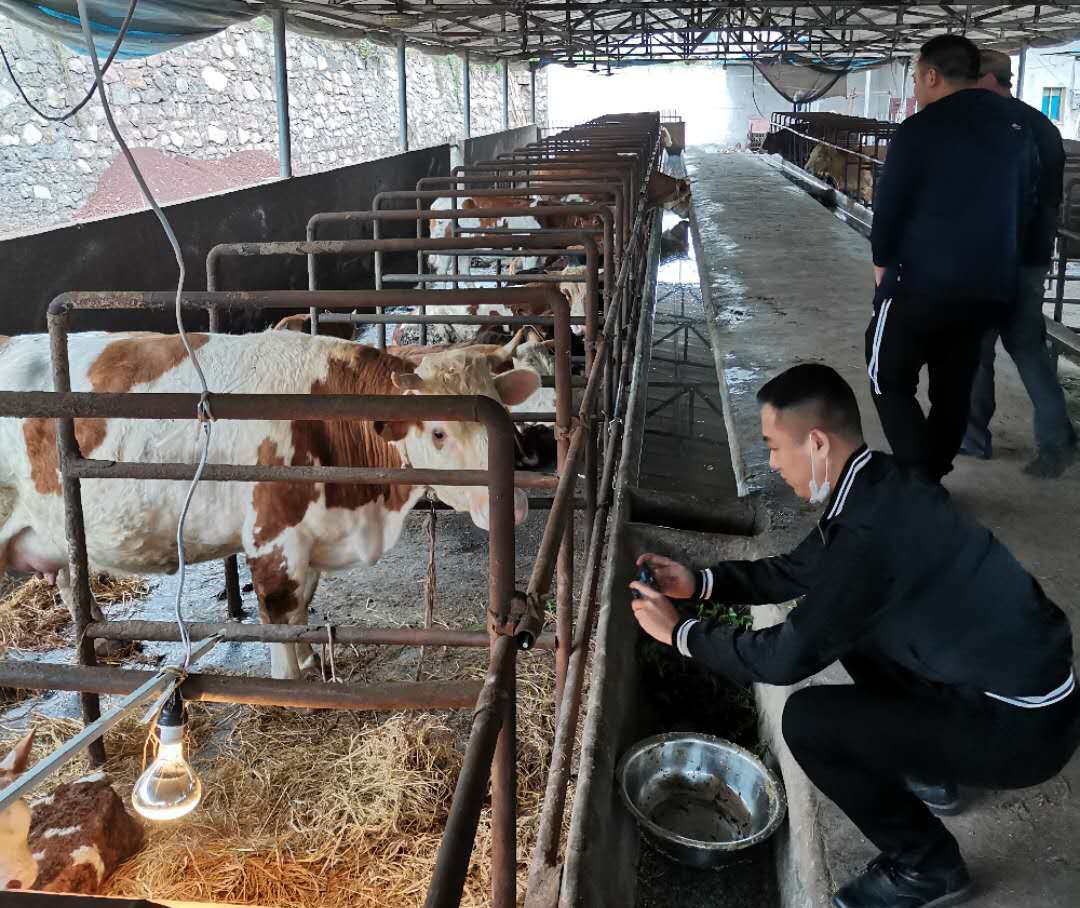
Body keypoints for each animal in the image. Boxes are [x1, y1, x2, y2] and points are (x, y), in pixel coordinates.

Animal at [0, 330, 537, 678]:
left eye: (503, 414)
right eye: (440, 432)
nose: (513, 506)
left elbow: (302, 606)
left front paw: (307, 658)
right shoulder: (272, 534)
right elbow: (279, 611)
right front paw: (289, 683)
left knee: (69, 573)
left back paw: (107, 635)